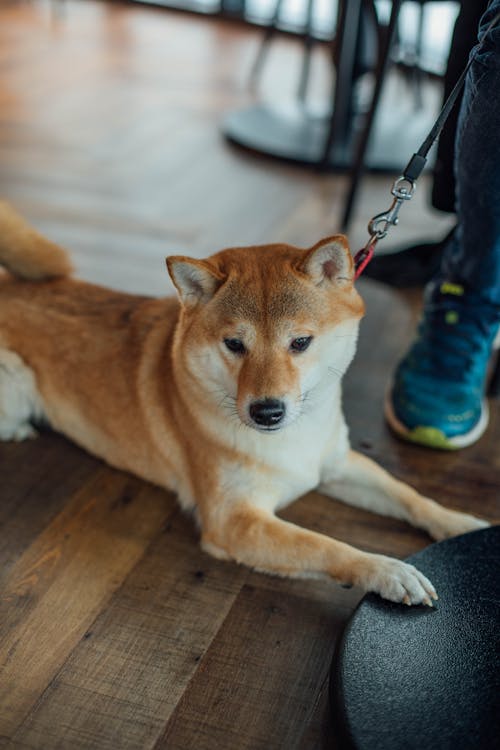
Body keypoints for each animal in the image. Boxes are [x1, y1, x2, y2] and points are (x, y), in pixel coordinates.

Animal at [0, 203, 486, 608]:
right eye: (234, 344)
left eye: (300, 342)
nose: (266, 412)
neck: (293, 440)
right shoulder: (234, 521)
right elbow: (326, 545)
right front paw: (387, 570)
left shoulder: (337, 464)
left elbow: (410, 496)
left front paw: (463, 524)